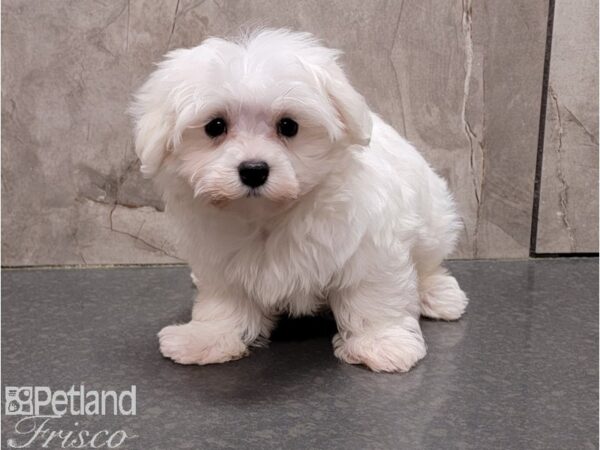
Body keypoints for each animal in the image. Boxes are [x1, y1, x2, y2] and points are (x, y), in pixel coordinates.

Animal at [131, 29, 468, 372]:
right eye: (215, 126)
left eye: (288, 126)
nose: (254, 170)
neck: (269, 215)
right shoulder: (221, 259)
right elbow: (225, 303)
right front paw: (207, 337)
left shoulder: (370, 246)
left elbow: (373, 294)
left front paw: (381, 342)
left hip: (434, 220)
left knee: (428, 262)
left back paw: (438, 295)